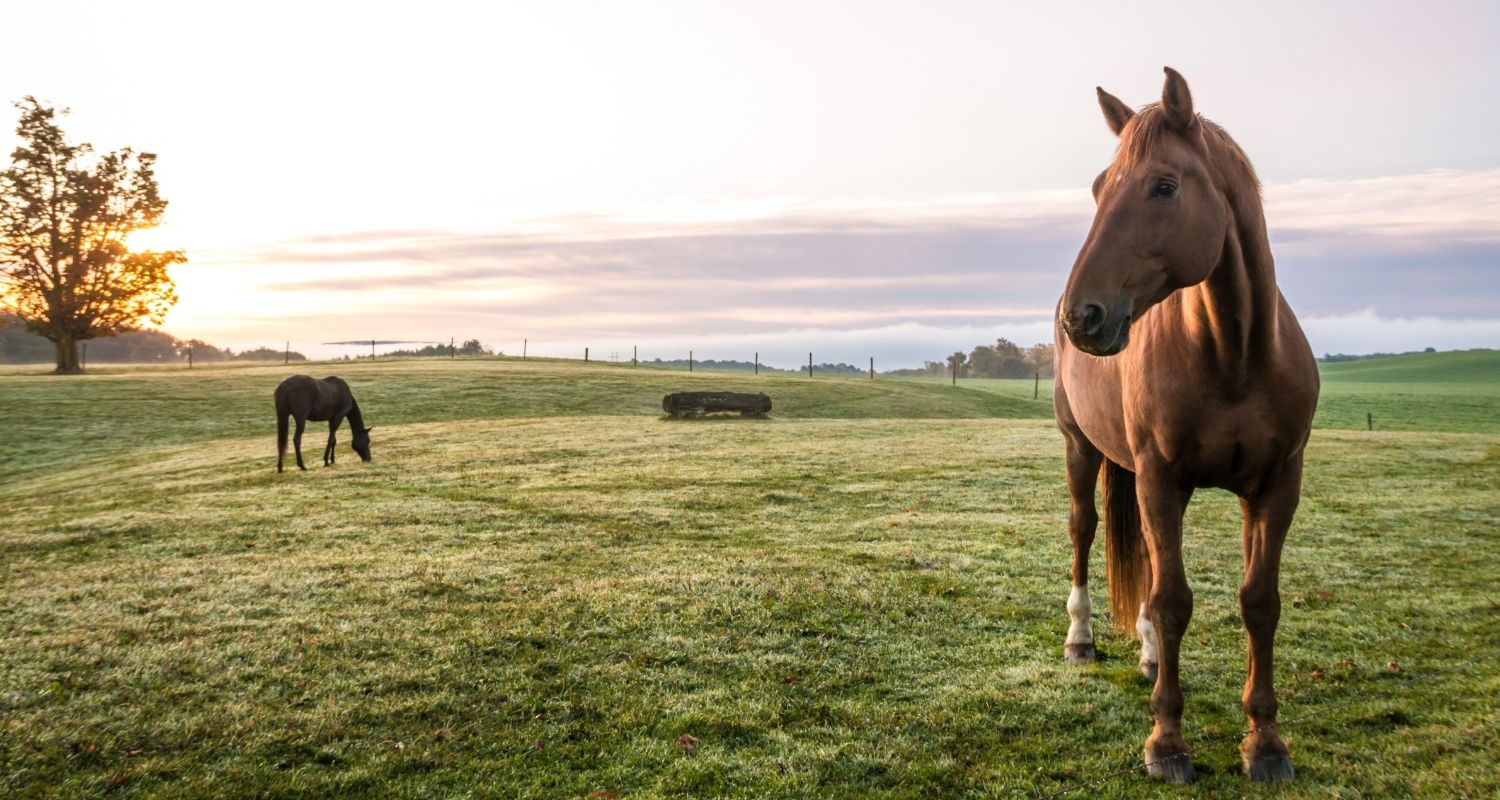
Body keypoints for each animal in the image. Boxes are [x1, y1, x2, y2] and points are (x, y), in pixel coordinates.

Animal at [1056, 67, 1314, 780]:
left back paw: (1147, 657)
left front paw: (1265, 741)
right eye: (1098, 187)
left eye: (1164, 186)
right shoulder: (1158, 477)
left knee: (1145, 558)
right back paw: (1081, 640)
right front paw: (1167, 742)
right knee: (1084, 531)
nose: (1080, 315)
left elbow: (1259, 602)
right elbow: (1174, 602)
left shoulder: (1277, 487)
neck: (1234, 354)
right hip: (1081, 449)